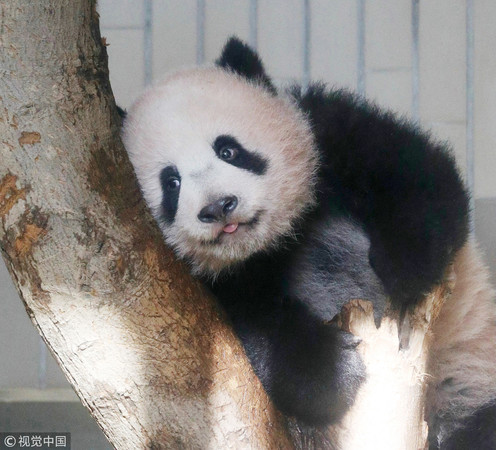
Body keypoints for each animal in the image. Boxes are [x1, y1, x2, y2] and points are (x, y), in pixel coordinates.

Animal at [122, 37, 496, 446]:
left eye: (228, 150)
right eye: (171, 182)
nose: (219, 206)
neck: (278, 241)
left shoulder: (327, 137)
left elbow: (415, 173)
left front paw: (404, 270)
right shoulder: (210, 291)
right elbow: (264, 330)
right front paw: (334, 371)